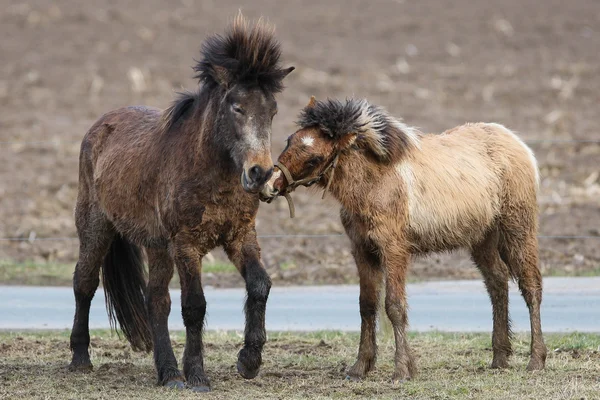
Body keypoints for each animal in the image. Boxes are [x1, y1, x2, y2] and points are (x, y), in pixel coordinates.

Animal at [68, 14, 292, 390]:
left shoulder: (240, 236)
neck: (209, 171)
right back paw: (81, 359)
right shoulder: (187, 245)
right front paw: (198, 375)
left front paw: (249, 361)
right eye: (237, 107)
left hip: (157, 246)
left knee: (156, 300)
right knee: (84, 284)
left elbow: (260, 285)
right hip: (96, 228)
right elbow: (195, 306)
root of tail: (99, 126)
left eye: (273, 110)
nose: (260, 172)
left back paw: (169, 373)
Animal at [260, 97, 548, 384]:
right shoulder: (362, 250)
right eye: (289, 140)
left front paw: (401, 370)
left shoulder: (394, 250)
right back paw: (499, 358)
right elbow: (367, 305)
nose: (267, 187)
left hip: (518, 228)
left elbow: (394, 306)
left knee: (531, 286)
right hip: (482, 238)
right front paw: (360, 367)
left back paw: (536, 360)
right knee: (497, 281)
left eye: (314, 159)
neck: (374, 184)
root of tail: (518, 143)